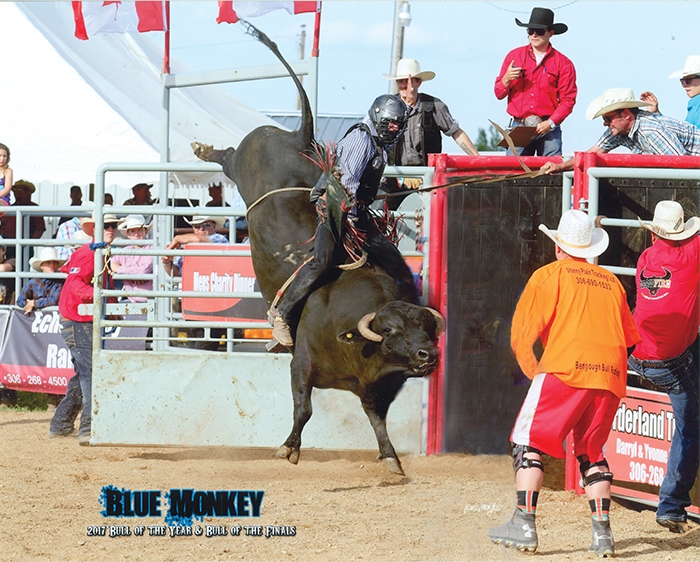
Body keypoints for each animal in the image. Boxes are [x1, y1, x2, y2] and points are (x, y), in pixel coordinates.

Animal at [191, 21, 442, 470]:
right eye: (392, 329)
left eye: (427, 327)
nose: (428, 356)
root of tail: (303, 139)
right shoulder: (302, 363)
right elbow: (303, 408)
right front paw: (289, 446)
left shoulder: (380, 388)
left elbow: (376, 417)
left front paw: (390, 457)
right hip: (241, 164)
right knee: (228, 156)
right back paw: (206, 148)